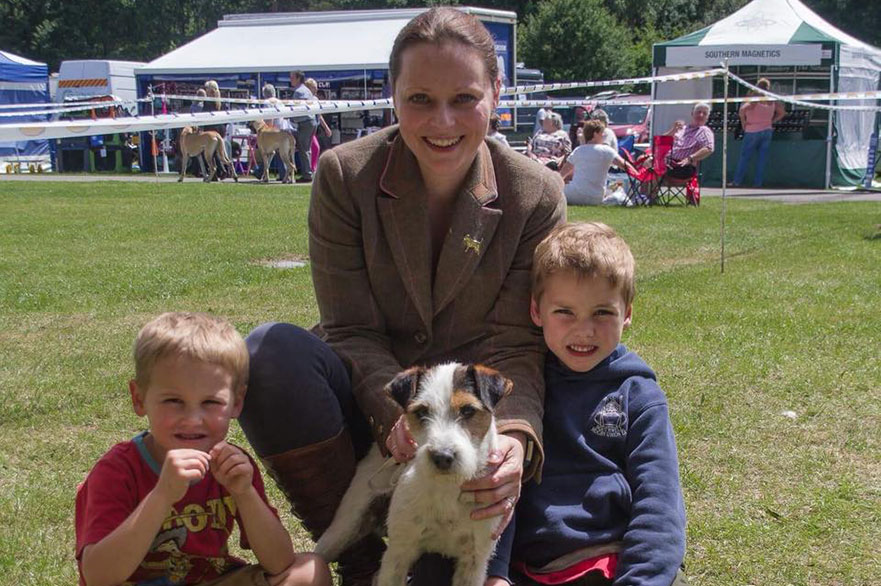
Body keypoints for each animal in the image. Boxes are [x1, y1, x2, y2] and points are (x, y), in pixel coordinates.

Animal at [314, 360, 512, 584]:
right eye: (421, 412)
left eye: (468, 410)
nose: (442, 457)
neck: (447, 488)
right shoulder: (398, 553)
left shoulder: (474, 561)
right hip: (343, 527)